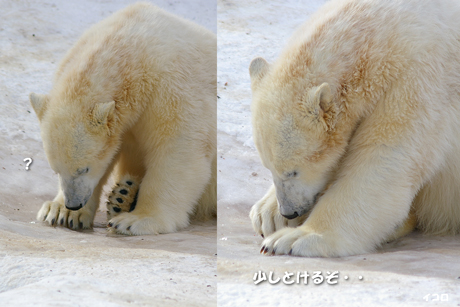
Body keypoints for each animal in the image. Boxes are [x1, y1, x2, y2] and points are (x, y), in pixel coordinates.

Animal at [31, 1, 217, 236]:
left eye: (84, 168)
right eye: (55, 170)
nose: (73, 203)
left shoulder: (173, 89)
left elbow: (179, 150)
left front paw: (136, 220)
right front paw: (60, 212)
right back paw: (122, 195)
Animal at [250, 0, 460, 258]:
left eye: (293, 172)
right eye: (269, 168)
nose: (289, 211)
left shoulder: (423, 80)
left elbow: (382, 159)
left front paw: (294, 238)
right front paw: (267, 213)